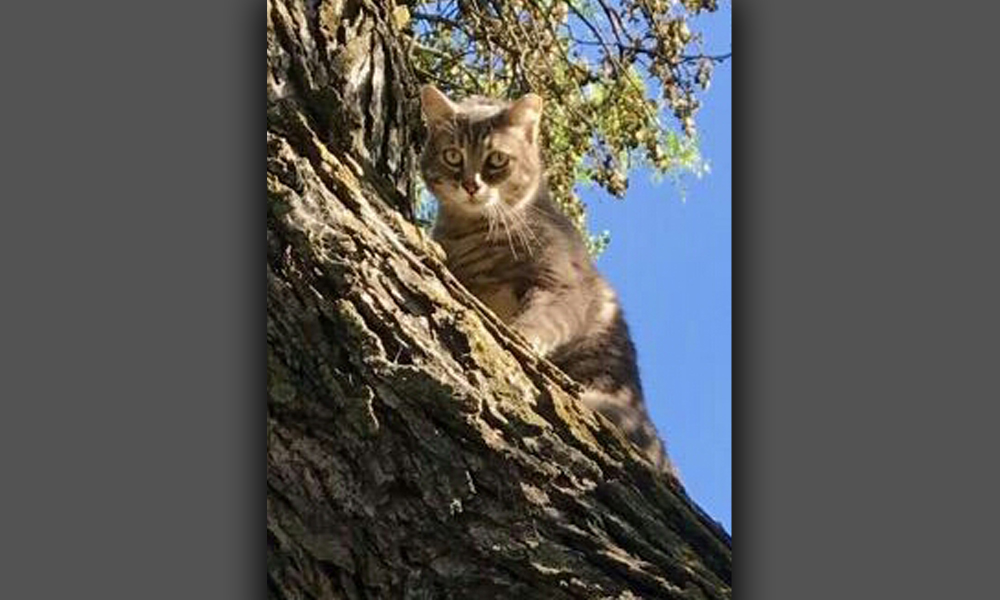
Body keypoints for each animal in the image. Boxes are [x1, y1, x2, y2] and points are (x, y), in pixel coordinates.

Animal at [418, 83, 676, 478]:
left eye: (496, 160)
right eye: (452, 156)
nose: (470, 185)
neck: (477, 231)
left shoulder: (562, 284)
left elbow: (542, 319)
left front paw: (520, 335)